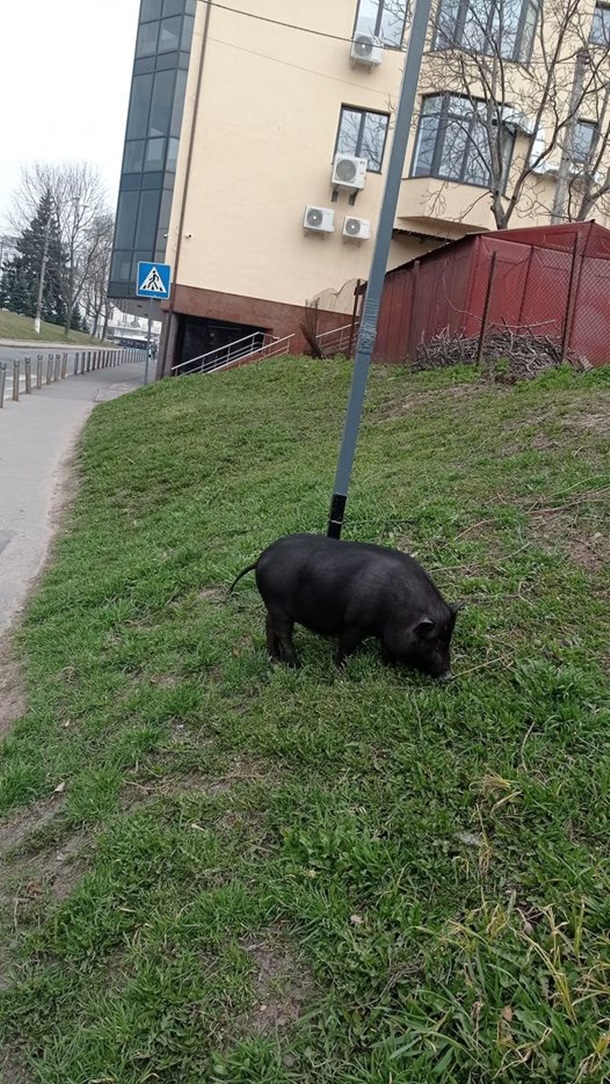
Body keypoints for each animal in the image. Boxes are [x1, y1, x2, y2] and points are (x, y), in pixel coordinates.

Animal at [231, 533, 461, 676]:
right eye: (434, 642)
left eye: (447, 640)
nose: (448, 675)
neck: (397, 612)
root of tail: (260, 560)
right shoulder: (354, 624)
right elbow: (346, 646)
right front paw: (339, 670)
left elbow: (386, 647)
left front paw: (389, 665)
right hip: (279, 607)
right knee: (283, 632)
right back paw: (296, 665)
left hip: (272, 606)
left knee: (268, 623)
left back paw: (274, 658)